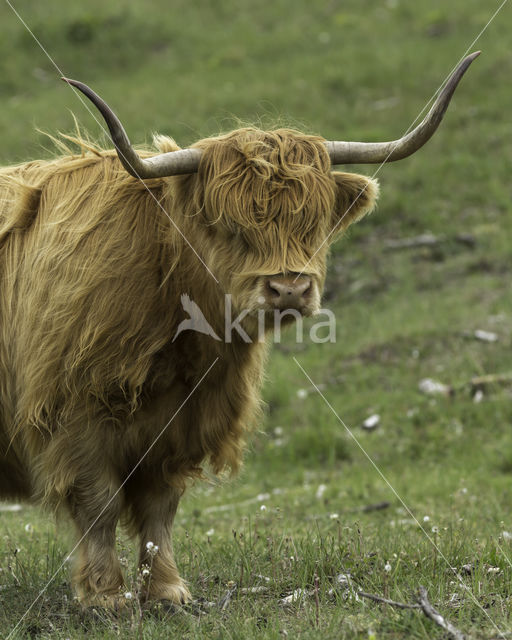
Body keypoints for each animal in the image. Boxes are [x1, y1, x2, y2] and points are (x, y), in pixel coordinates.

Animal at [0, 52, 478, 608]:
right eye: (230, 227)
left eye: (312, 225)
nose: (289, 289)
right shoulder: (74, 415)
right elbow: (98, 502)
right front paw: (105, 596)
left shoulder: (178, 425)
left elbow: (159, 508)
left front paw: (166, 591)